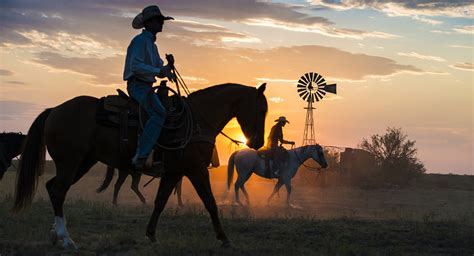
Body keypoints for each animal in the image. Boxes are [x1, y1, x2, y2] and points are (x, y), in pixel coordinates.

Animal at [13, 83, 266, 249]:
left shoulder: (173, 172)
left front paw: (151, 235)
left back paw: (55, 234)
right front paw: (224, 238)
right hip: (70, 162)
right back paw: (66, 238)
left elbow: (160, 201)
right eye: (261, 109)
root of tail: (54, 110)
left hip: (82, 163)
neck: (196, 121)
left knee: (52, 188)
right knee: (58, 191)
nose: (257, 143)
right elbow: (210, 203)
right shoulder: (196, 170)